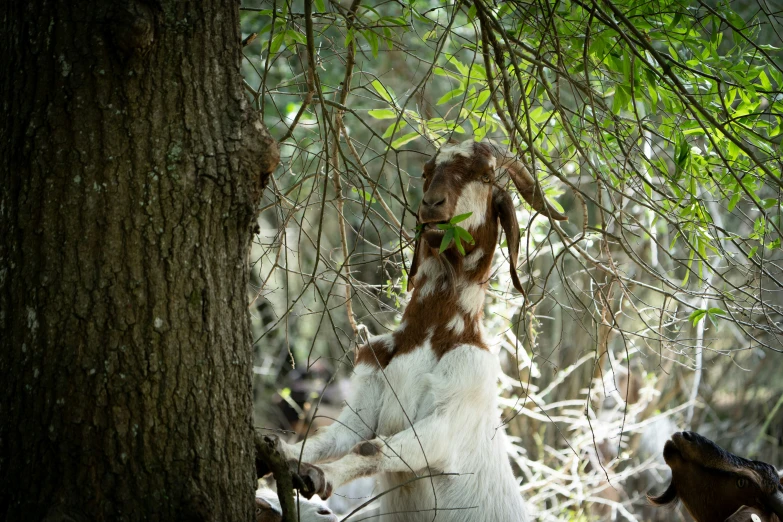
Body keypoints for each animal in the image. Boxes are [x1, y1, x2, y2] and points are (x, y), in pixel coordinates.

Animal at [272, 139, 568, 520]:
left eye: (486, 176)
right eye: (427, 173)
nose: (432, 205)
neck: (429, 335)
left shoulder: (450, 414)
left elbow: (371, 448)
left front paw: (321, 476)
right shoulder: (364, 397)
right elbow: (329, 439)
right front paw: (275, 452)